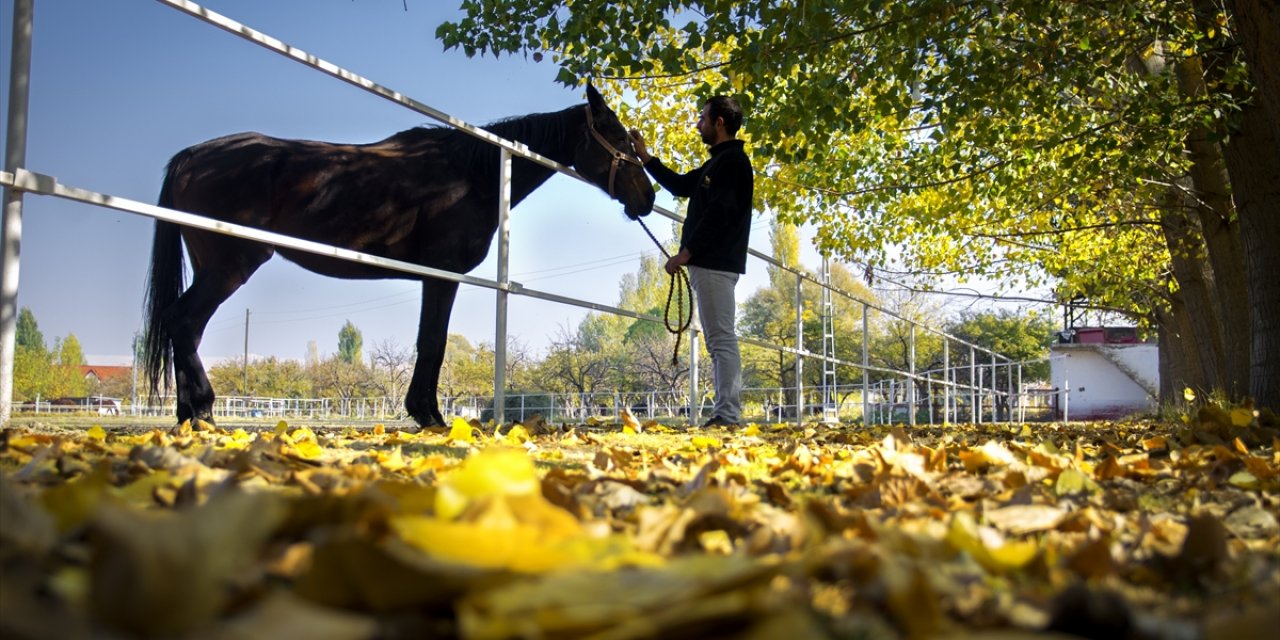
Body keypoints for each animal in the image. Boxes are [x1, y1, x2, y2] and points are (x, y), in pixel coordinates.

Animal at [145, 85, 655, 424]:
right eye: (617, 137)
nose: (647, 197)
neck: (474, 175)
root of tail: (190, 157)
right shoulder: (442, 275)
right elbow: (433, 343)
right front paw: (430, 416)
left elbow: (431, 343)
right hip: (229, 266)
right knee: (183, 321)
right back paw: (203, 411)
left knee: (181, 325)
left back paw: (189, 413)